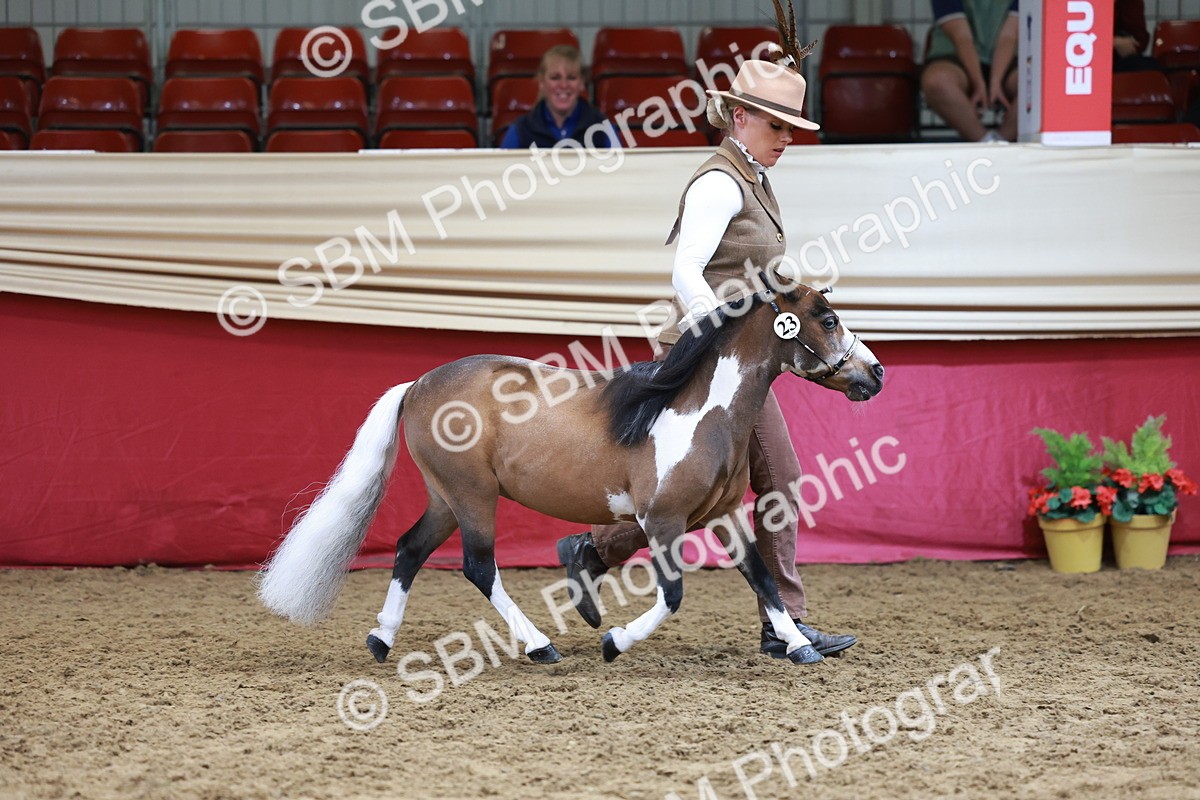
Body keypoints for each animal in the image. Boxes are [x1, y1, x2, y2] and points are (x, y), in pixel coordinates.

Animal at [257, 277, 885, 666]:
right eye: (828, 319)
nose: (875, 374)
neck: (698, 411)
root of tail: (418, 385)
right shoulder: (662, 521)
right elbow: (674, 595)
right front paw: (614, 641)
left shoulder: (723, 514)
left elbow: (762, 577)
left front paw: (800, 646)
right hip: (472, 496)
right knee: (478, 567)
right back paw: (539, 646)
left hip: (446, 499)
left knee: (410, 549)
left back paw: (381, 639)